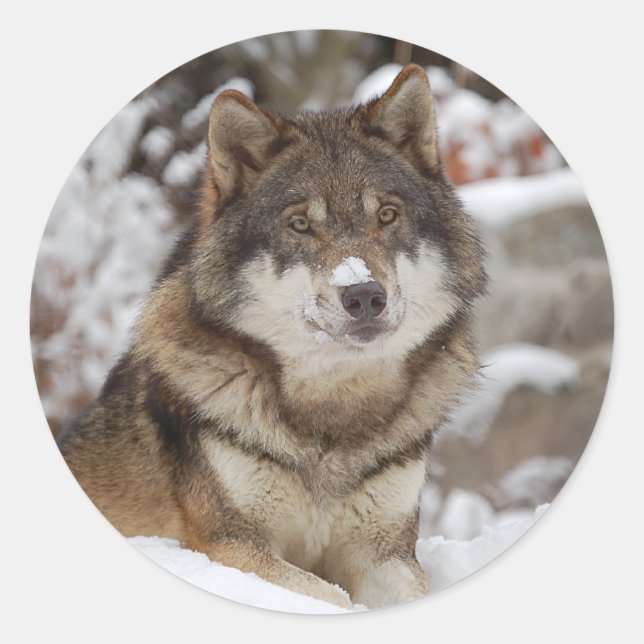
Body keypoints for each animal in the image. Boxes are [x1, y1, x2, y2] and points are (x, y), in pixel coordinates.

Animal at [57, 64, 486, 610]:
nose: (365, 295)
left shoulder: (384, 553)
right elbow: (329, 598)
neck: (333, 416)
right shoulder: (230, 546)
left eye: (387, 215)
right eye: (300, 224)